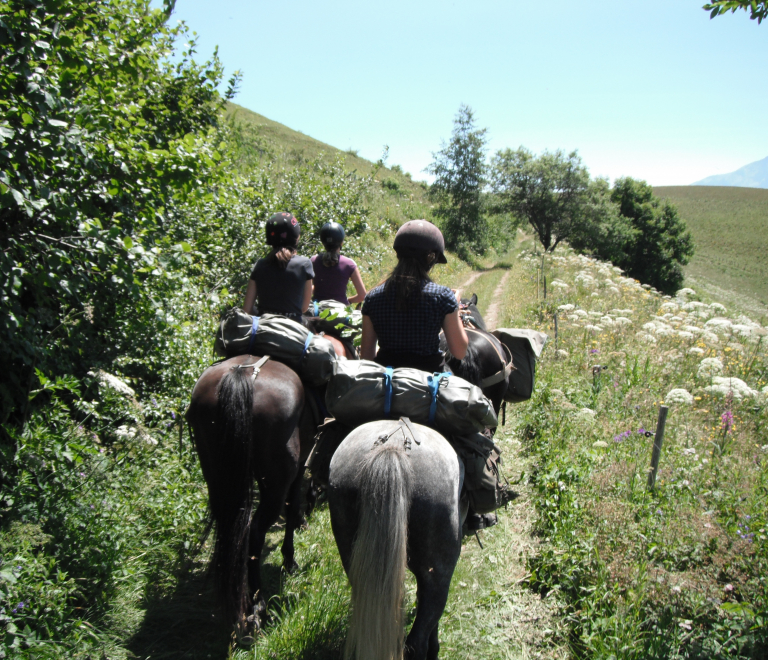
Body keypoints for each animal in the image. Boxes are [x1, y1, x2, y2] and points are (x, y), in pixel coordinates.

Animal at [188, 356, 316, 636]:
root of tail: (241, 376)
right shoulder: (302, 460)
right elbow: (292, 506)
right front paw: (289, 559)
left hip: (217, 474)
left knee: (229, 525)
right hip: (276, 481)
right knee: (254, 530)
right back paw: (257, 605)